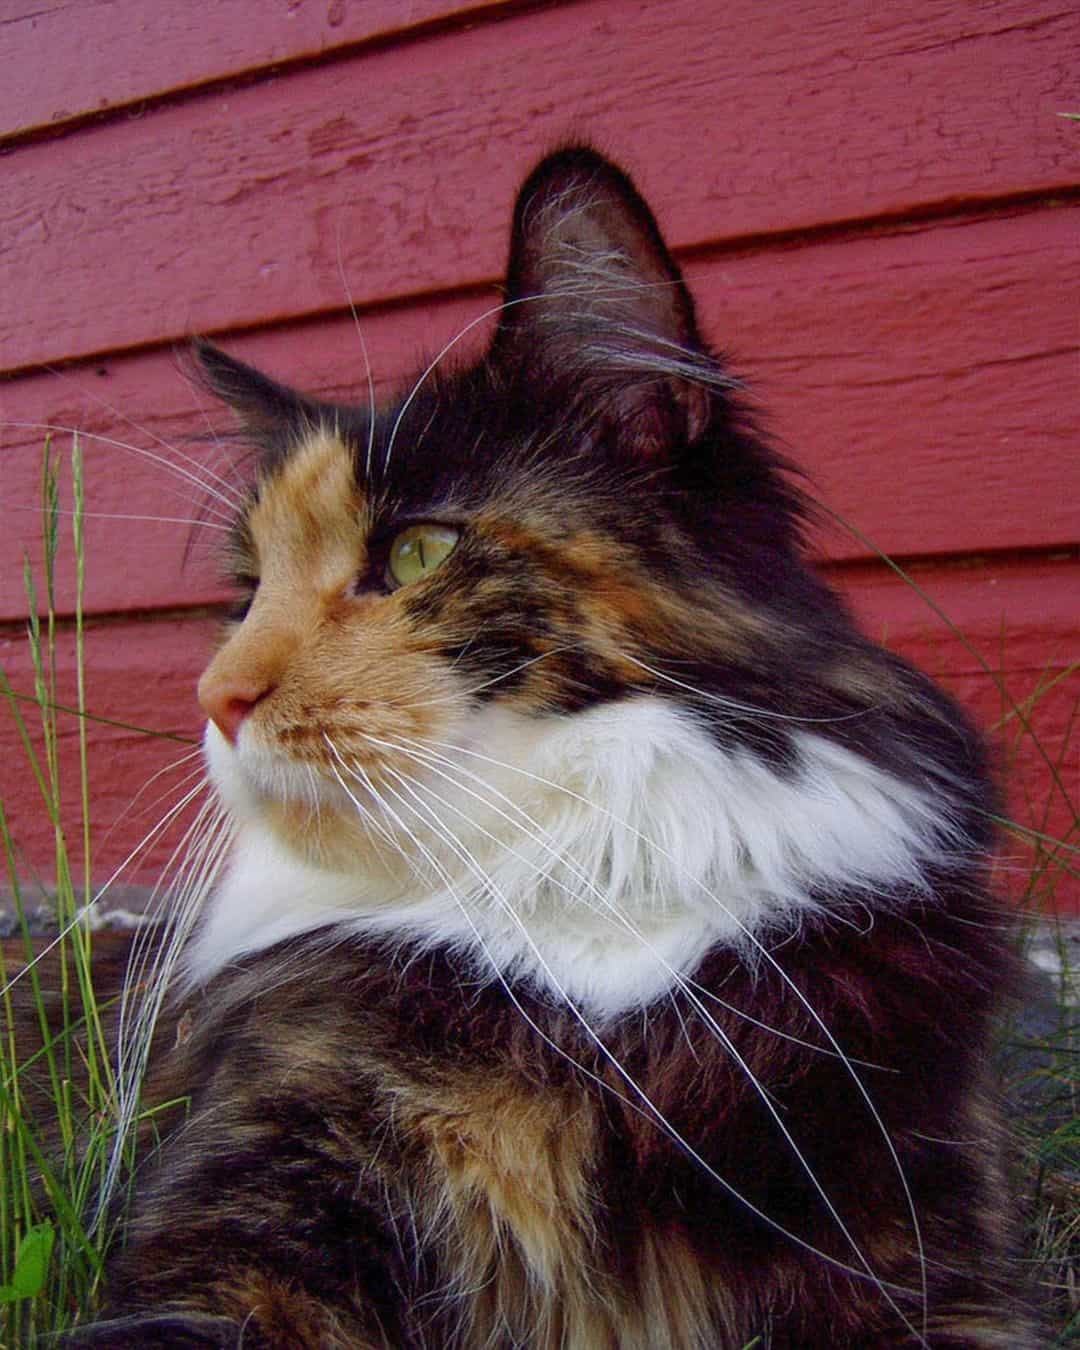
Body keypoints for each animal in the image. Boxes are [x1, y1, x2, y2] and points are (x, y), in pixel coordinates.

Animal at [61, 142, 1036, 1344]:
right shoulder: (245, 1228)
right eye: (246, 595)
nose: (216, 696)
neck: (576, 917)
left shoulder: (921, 1245)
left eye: (420, 553)